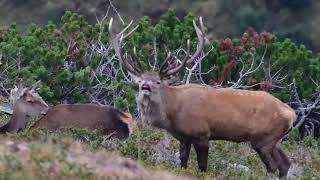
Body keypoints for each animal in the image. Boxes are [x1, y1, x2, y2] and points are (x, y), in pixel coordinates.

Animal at [110, 17, 298, 178]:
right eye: (140, 80)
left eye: (158, 81)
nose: (145, 87)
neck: (173, 111)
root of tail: (292, 113)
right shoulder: (184, 137)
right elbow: (183, 163)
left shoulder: (201, 133)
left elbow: (202, 167)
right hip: (275, 140)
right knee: (285, 164)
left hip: (264, 139)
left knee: (272, 167)